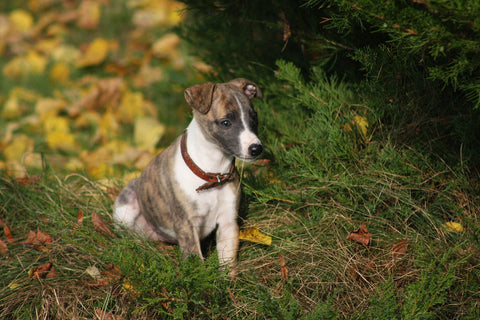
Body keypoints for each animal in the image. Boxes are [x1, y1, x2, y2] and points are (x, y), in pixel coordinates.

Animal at [113, 78, 262, 268]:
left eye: (254, 117)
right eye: (225, 122)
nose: (256, 148)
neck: (211, 173)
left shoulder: (228, 223)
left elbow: (228, 265)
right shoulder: (187, 225)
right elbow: (195, 262)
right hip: (125, 208)